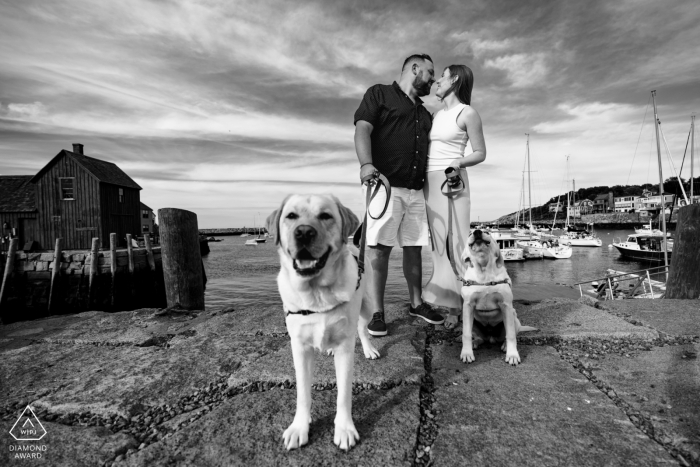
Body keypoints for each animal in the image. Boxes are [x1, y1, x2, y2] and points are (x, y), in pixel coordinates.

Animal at [266, 195, 380, 454]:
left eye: (326, 216)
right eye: (291, 216)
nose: (304, 232)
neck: (316, 294)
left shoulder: (346, 349)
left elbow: (344, 393)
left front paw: (345, 429)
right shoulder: (299, 347)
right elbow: (302, 393)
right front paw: (299, 427)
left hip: (368, 305)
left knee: (362, 328)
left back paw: (369, 348)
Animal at [460, 229, 536, 366]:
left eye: (487, 232)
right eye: (469, 233)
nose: (477, 231)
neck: (484, 271)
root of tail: (491, 338)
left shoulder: (506, 305)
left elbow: (511, 335)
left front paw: (512, 355)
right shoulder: (468, 305)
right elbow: (466, 334)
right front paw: (467, 353)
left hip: (514, 318)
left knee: (507, 336)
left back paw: (505, 346)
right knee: (480, 338)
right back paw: (475, 342)